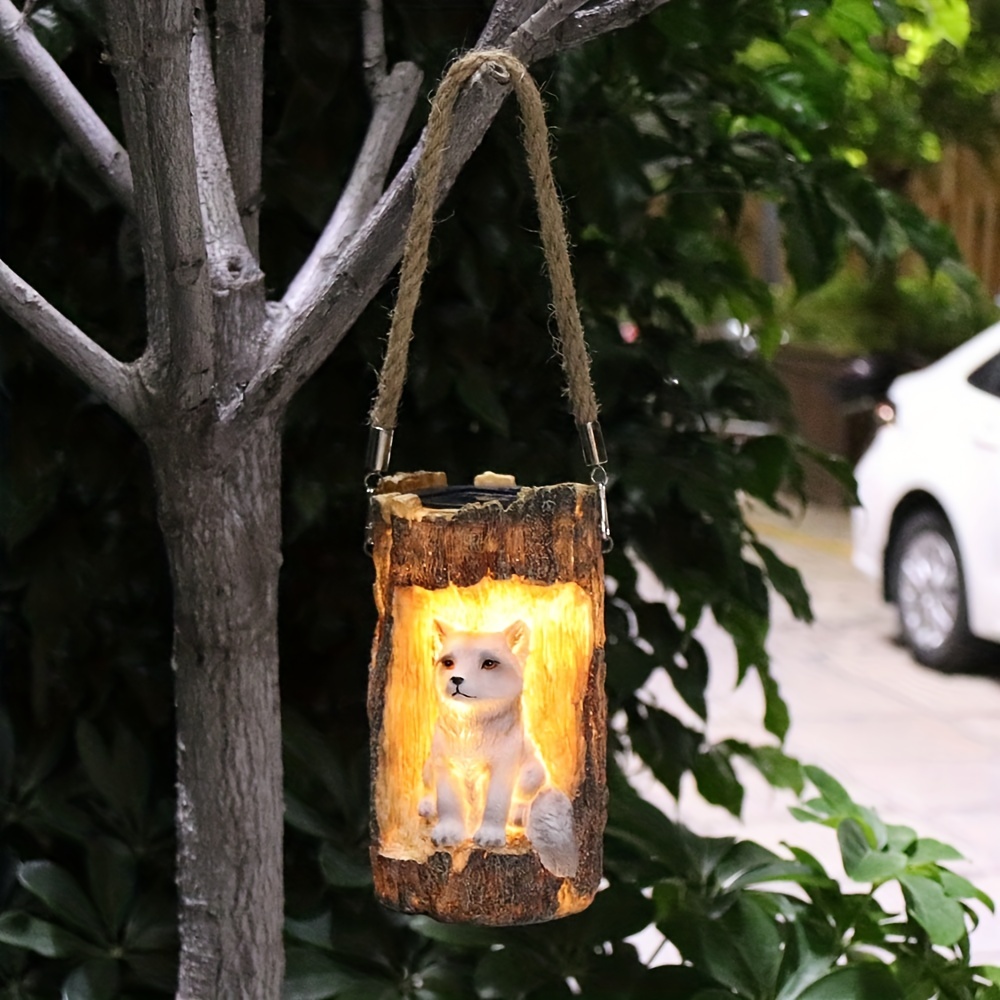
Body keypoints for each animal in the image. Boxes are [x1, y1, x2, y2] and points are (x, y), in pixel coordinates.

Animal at [418, 618, 579, 878]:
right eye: (448, 662)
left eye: (489, 663)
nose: (457, 679)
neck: (471, 724)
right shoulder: (445, 764)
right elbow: (449, 801)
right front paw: (448, 834)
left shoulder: (503, 766)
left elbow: (495, 803)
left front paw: (489, 838)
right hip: (427, 767)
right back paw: (427, 806)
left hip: (534, 772)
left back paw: (518, 813)